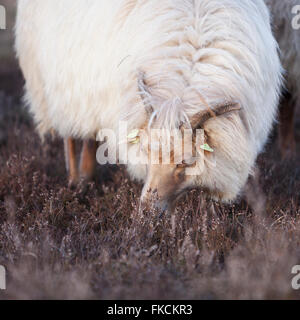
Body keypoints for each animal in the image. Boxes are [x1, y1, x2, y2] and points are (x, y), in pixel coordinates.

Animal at [15, 0, 282, 209]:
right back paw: (76, 182)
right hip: (60, 85)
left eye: (186, 161)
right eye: (147, 151)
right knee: (71, 135)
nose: (147, 209)